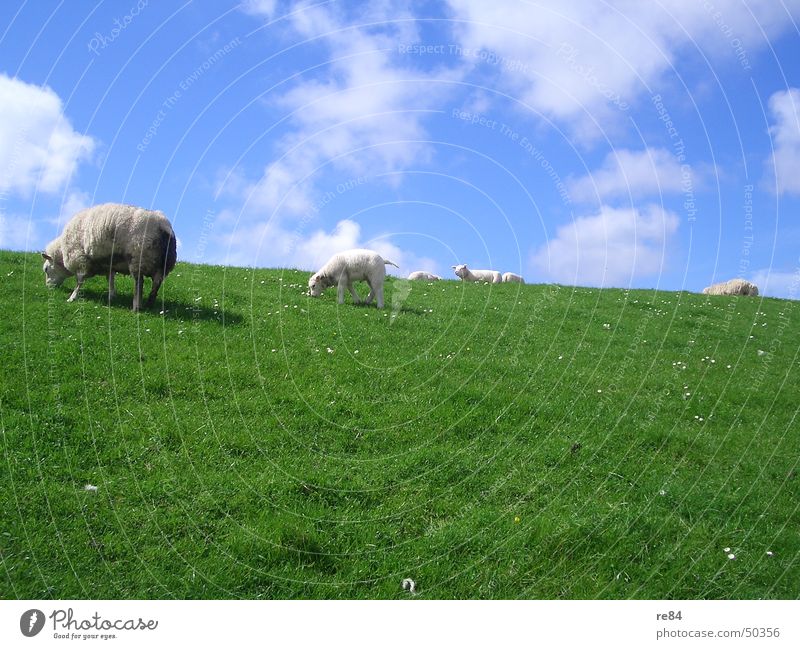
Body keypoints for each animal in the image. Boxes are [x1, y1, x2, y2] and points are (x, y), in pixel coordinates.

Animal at [41, 204, 177, 312]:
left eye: (46, 270)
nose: (48, 287)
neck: (62, 252)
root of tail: (164, 225)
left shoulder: (80, 259)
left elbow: (80, 280)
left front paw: (72, 297)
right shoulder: (108, 263)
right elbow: (110, 279)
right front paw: (112, 296)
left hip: (138, 257)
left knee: (139, 282)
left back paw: (136, 307)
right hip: (162, 264)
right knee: (156, 283)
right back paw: (149, 303)